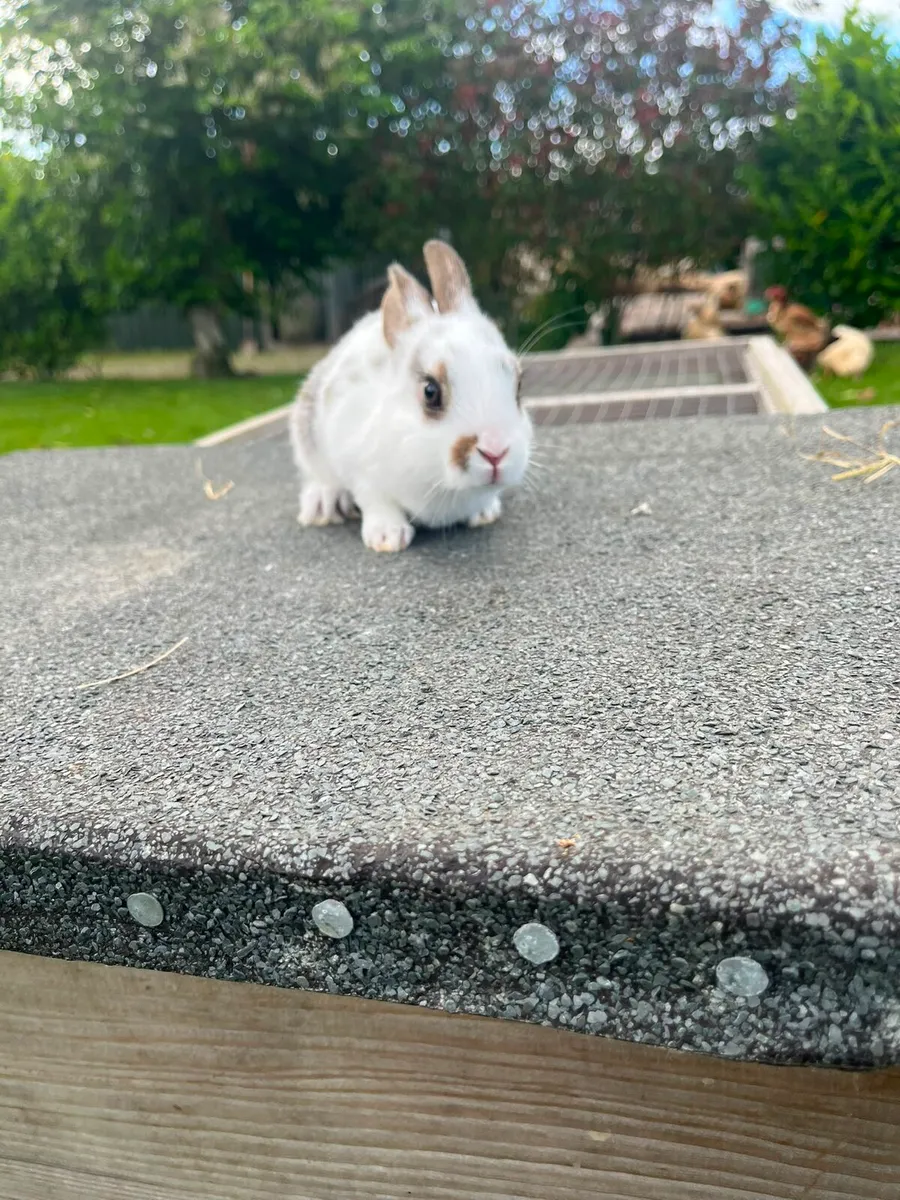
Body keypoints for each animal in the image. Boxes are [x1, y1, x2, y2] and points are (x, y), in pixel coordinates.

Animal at [289, 240, 533, 552]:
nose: (496, 452)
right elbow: (375, 500)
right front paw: (387, 537)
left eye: (518, 385)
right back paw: (323, 505)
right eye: (430, 392)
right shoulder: (360, 468)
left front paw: (484, 513)